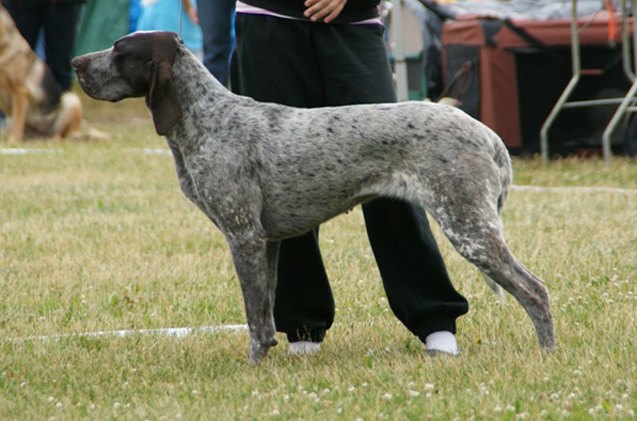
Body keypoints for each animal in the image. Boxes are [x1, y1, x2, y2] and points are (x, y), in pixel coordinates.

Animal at [0, 4, 82, 144]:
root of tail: (38, 136)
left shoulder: (20, 91)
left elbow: (18, 121)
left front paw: (13, 141)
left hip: (71, 101)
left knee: (60, 135)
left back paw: (53, 140)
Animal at [72, 32, 556, 360]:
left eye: (120, 52)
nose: (76, 61)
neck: (206, 118)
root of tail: (486, 132)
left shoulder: (242, 236)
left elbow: (253, 316)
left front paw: (253, 368)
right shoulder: (266, 241)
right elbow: (266, 314)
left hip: (468, 227)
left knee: (535, 289)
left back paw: (547, 354)